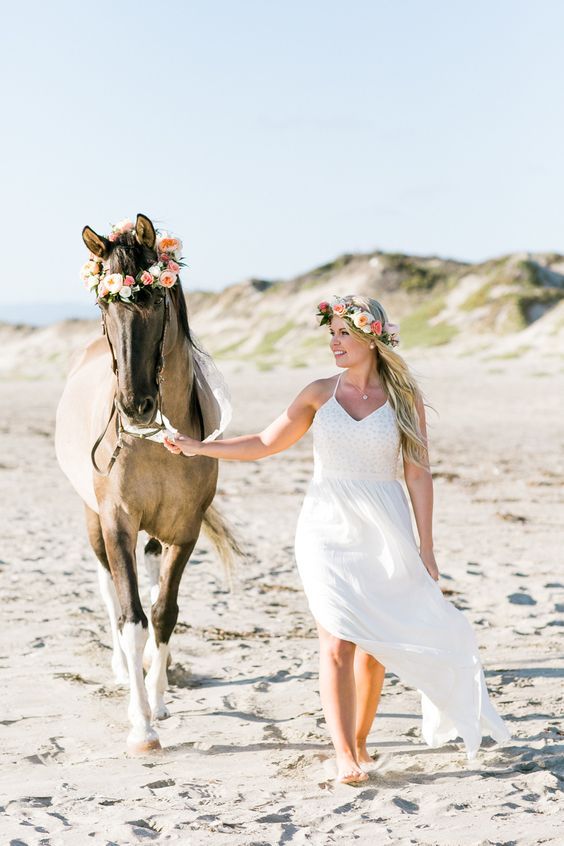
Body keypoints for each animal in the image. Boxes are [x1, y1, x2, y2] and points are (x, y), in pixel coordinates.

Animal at [56, 214, 240, 756]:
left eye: (154, 301)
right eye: (105, 305)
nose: (134, 405)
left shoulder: (185, 530)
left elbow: (163, 613)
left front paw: (158, 702)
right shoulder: (117, 522)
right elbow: (132, 618)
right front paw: (141, 726)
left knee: (152, 578)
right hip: (94, 520)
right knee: (108, 590)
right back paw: (122, 668)